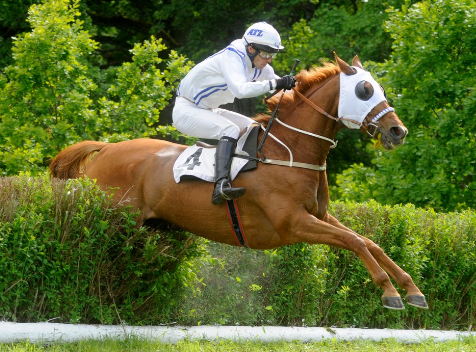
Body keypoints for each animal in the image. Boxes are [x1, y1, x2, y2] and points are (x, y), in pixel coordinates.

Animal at [51, 53, 428, 310]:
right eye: (365, 90)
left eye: (379, 88)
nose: (398, 131)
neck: (290, 150)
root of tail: (106, 149)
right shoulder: (293, 223)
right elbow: (356, 242)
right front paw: (390, 292)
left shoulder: (318, 215)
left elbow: (369, 242)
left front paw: (411, 289)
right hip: (111, 220)